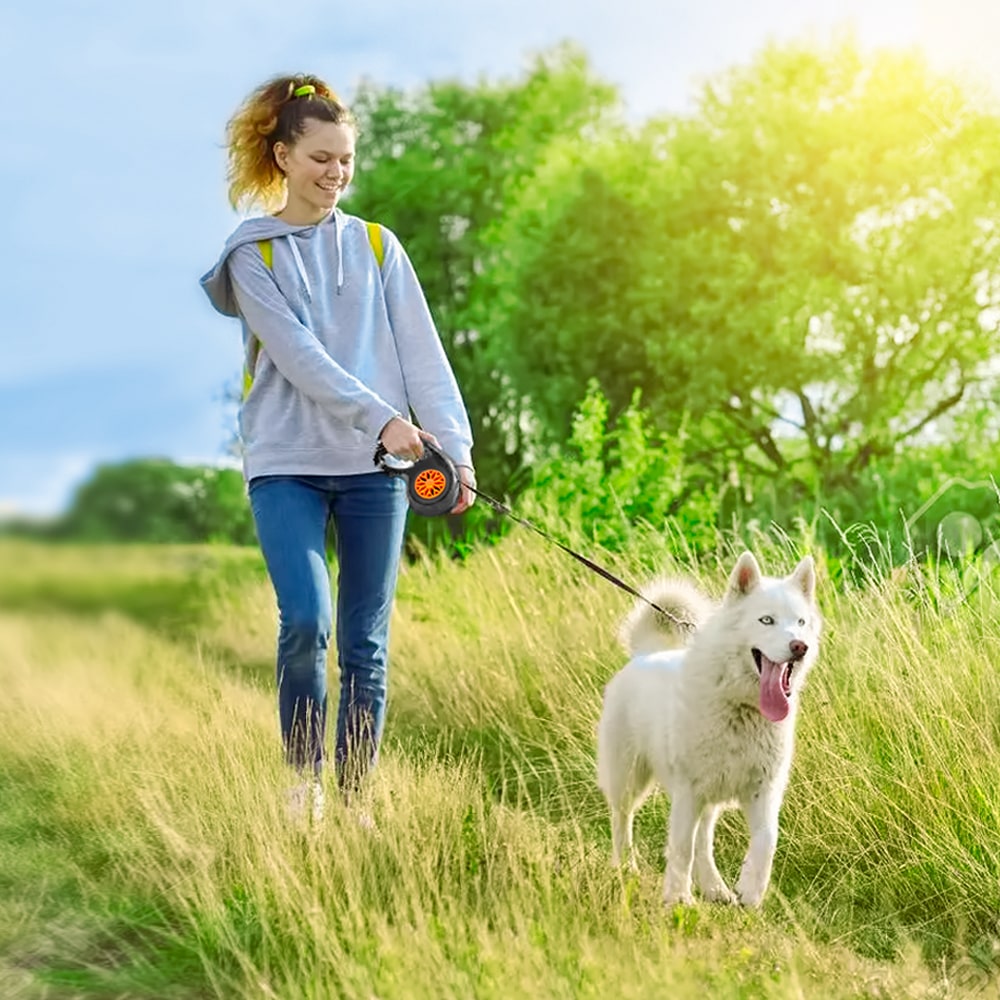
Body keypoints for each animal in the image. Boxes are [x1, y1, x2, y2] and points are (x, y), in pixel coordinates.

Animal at [592, 552, 820, 912]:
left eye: (800, 622)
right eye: (766, 620)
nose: (800, 647)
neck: (742, 707)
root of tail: (646, 653)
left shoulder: (764, 790)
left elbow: (767, 840)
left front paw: (750, 891)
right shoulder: (689, 789)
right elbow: (681, 847)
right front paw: (677, 898)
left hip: (709, 794)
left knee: (703, 840)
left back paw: (714, 888)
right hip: (629, 777)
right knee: (622, 818)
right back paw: (626, 866)